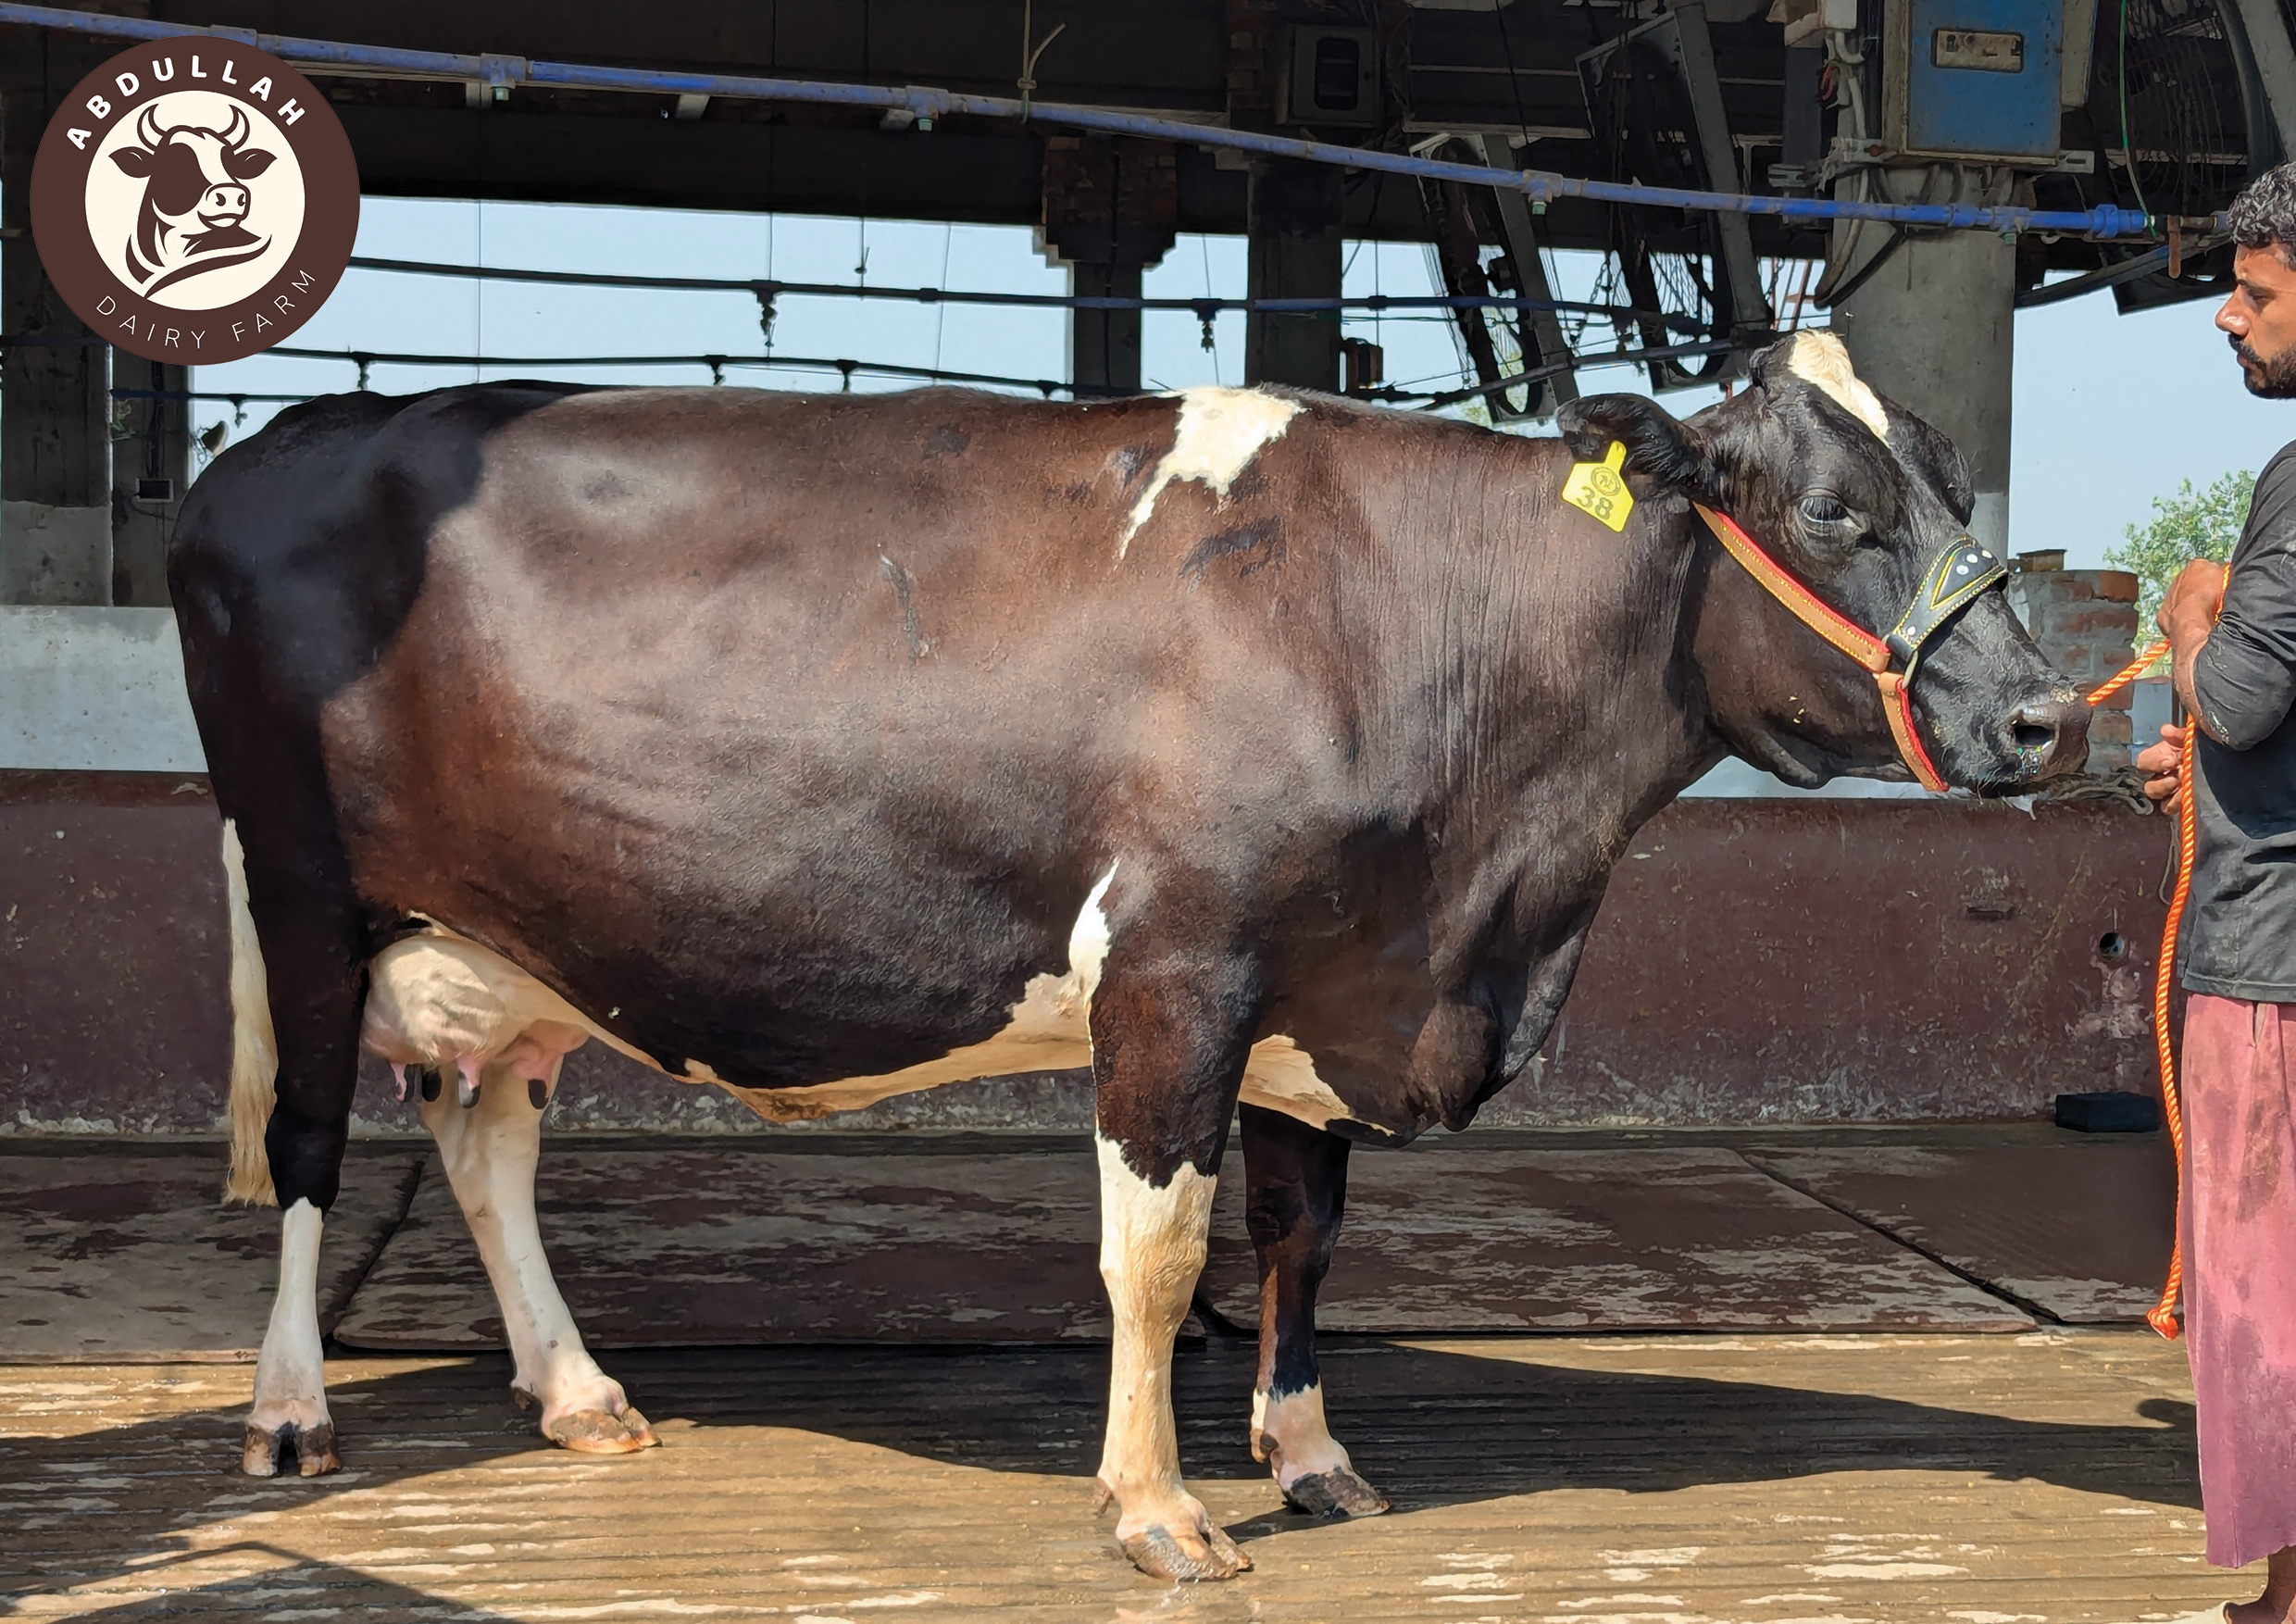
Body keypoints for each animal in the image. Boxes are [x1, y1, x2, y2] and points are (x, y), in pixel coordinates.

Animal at [171, 331, 2088, 1582]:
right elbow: (1156, 1256)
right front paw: (1157, 1505)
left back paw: (578, 1392)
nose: (2047, 714)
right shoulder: (1179, 963)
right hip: (302, 882)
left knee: (484, 1134)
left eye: (1958, 488)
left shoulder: (1331, 975)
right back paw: (290, 1413)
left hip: (518, 926)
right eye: (1835, 511)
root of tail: (284, 435)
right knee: (313, 1142)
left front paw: (1310, 1456)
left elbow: (1304, 1234)